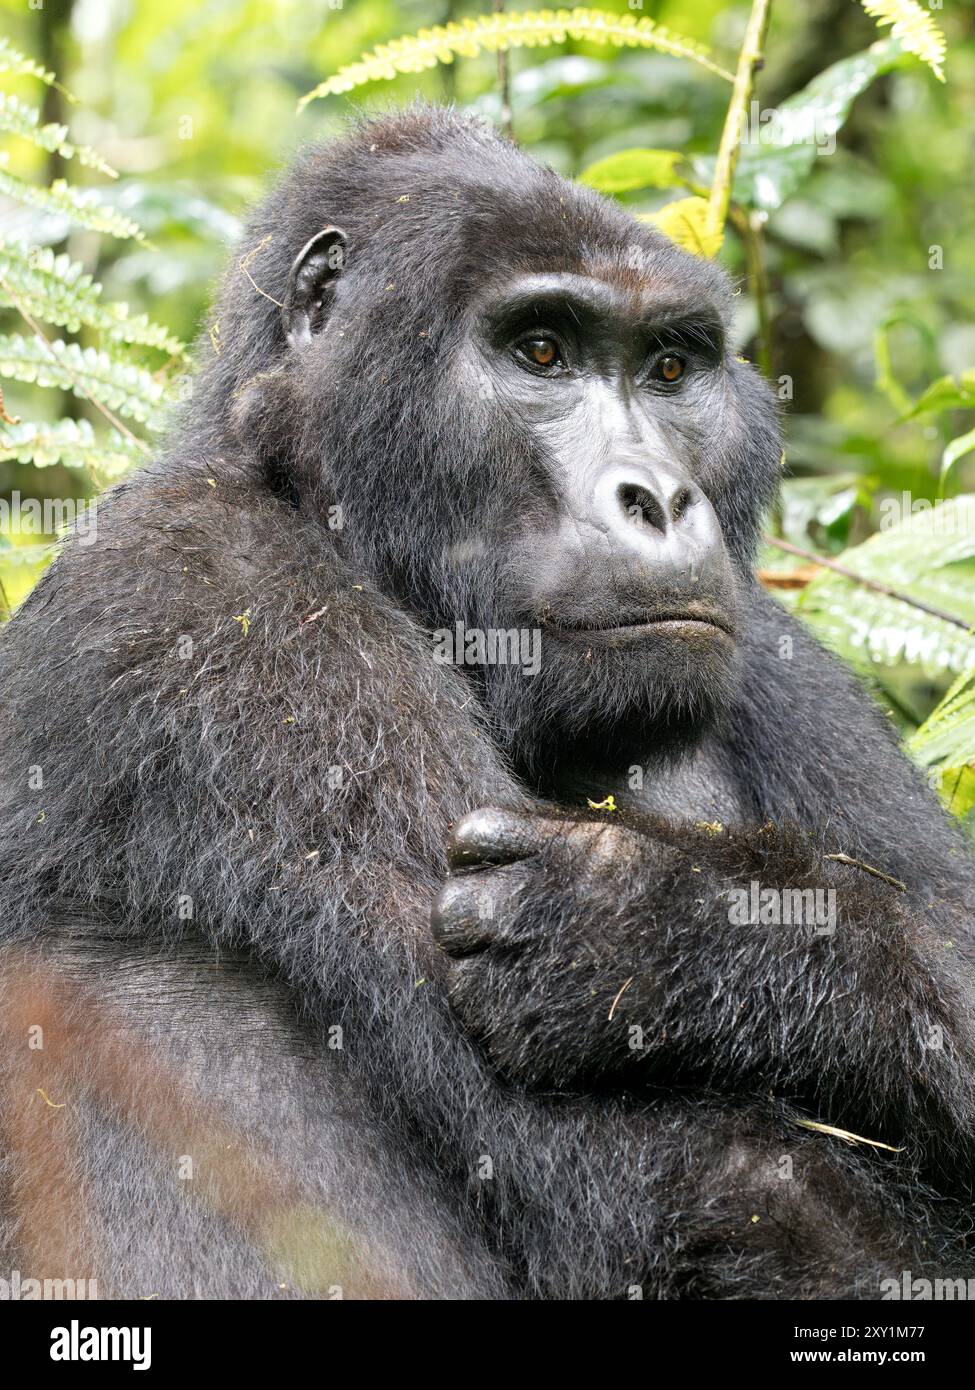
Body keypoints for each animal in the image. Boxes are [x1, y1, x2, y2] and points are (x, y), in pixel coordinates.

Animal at [1, 111, 973, 1301]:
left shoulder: (773, 649)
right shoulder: (203, 596)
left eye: (670, 369)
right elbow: (665, 1174)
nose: (659, 499)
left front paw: (680, 926)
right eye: (541, 352)